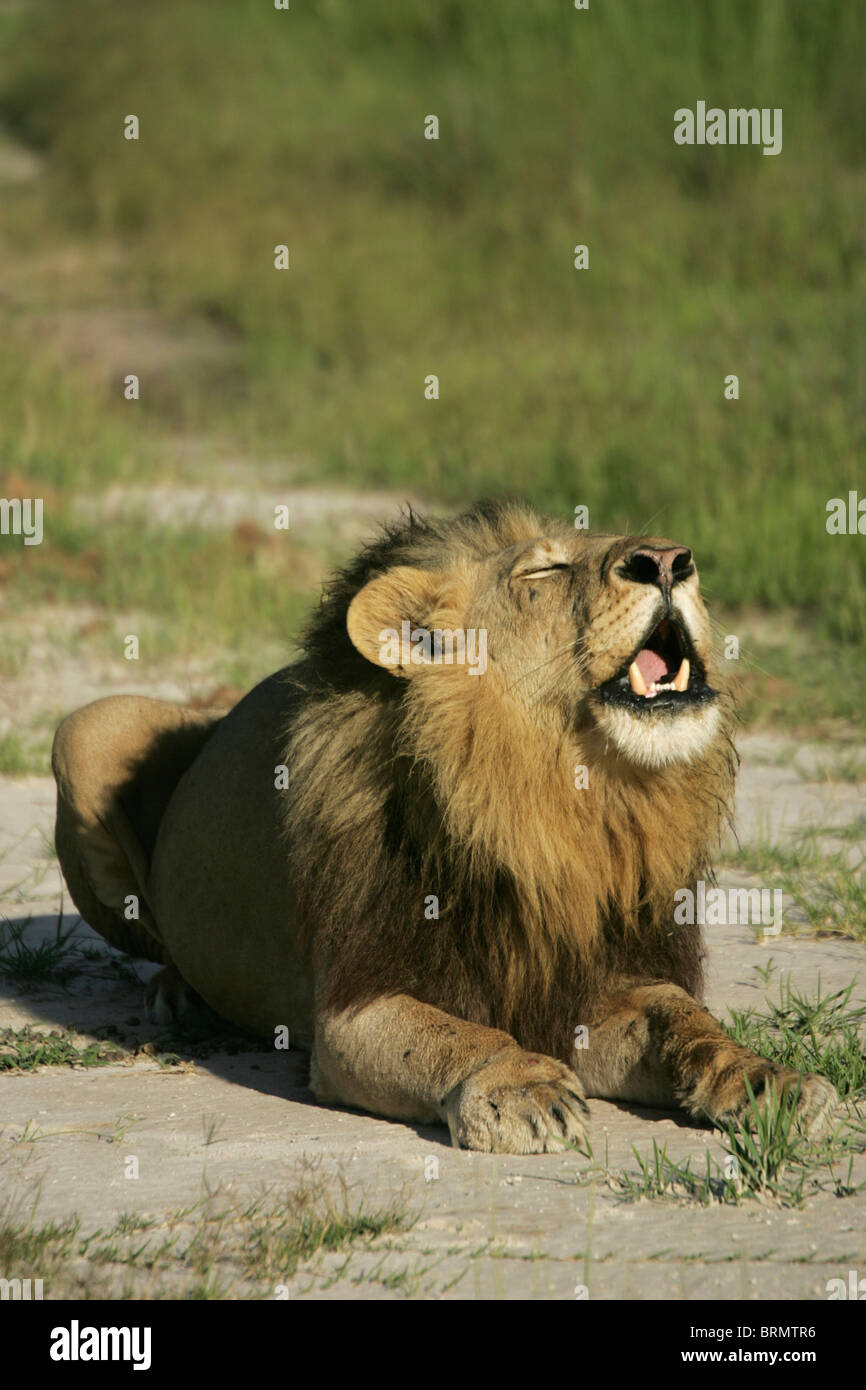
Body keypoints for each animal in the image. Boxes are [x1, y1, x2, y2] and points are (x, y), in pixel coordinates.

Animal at [50, 500, 839, 1150]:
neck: (562, 804)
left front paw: (767, 1079)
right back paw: (177, 992)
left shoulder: (597, 979)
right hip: (86, 726)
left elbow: (682, 1019)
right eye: (545, 569)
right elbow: (453, 1036)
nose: (671, 560)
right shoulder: (353, 1008)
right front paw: (524, 1086)